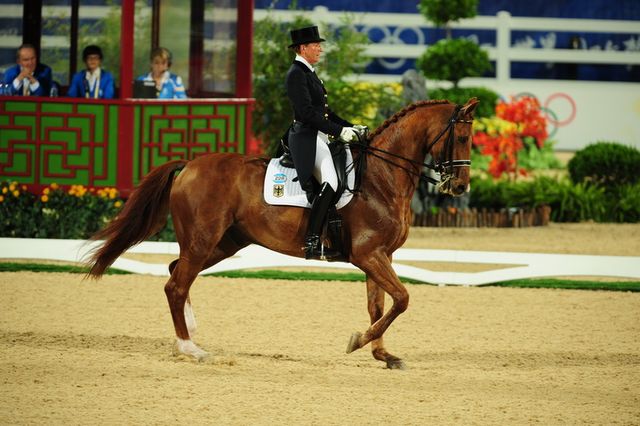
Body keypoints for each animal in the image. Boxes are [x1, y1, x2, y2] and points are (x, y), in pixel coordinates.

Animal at [87, 98, 479, 369]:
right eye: (461, 136)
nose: (460, 186)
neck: (381, 176)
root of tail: (189, 166)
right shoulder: (368, 254)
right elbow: (402, 299)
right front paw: (357, 342)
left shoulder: (381, 255)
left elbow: (380, 305)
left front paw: (384, 354)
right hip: (203, 240)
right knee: (176, 285)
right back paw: (190, 348)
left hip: (223, 243)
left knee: (175, 274)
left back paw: (190, 334)